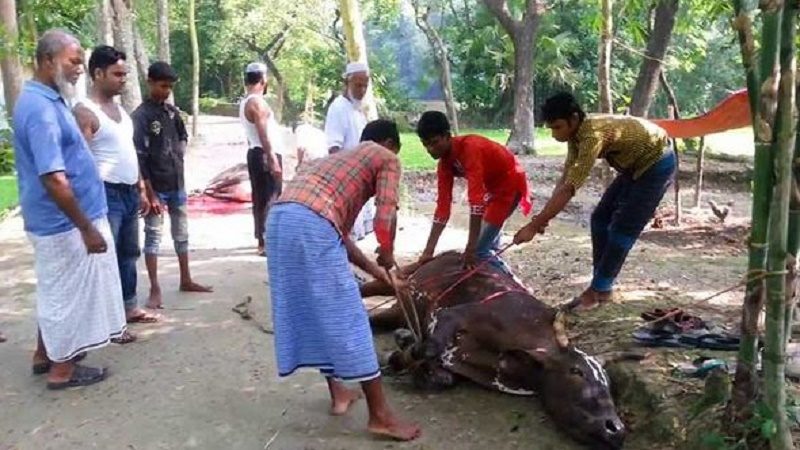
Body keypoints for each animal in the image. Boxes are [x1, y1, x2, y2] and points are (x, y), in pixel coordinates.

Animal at [362, 251, 632, 448]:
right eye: (576, 372)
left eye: (609, 382)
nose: (616, 429)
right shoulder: (452, 316)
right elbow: (427, 348)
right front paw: (401, 350)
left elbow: (440, 376)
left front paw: (404, 351)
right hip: (400, 280)